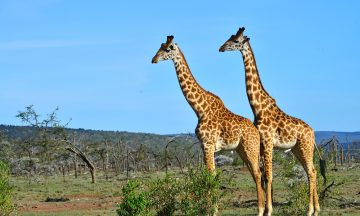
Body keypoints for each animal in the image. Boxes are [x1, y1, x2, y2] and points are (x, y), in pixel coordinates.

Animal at [152, 35, 264, 216]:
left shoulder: (208, 145)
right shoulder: (204, 146)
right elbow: (208, 175)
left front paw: (213, 210)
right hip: (241, 150)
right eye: (160, 47)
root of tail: (256, 131)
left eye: (168, 49)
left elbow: (211, 176)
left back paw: (260, 210)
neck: (199, 109)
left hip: (250, 148)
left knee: (257, 173)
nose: (153, 59)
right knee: (255, 174)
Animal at [219, 27, 320, 215]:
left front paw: (269, 210)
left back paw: (310, 210)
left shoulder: (267, 142)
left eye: (236, 41)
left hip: (306, 146)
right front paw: (266, 208)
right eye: (230, 37)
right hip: (297, 149)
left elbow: (269, 175)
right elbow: (263, 176)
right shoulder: (260, 144)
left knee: (311, 172)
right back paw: (317, 209)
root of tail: (313, 132)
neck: (258, 107)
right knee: (313, 170)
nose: (221, 48)